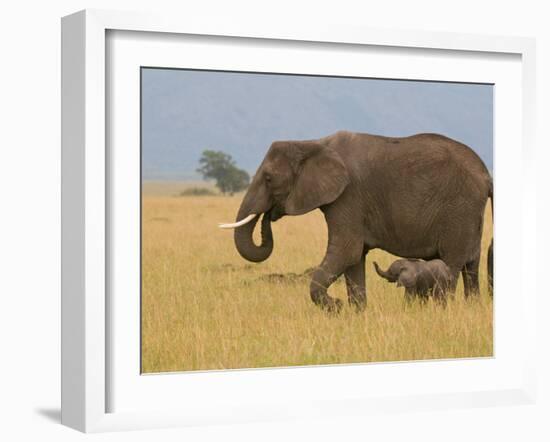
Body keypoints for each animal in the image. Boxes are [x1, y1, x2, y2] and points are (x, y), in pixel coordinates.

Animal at [218, 129, 494, 312]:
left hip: (459, 210)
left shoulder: (348, 196)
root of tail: (486, 174)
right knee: (471, 266)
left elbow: (346, 252)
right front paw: (356, 313)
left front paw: (337, 307)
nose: (270, 214)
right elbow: (354, 259)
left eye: (268, 178)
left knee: (451, 264)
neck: (312, 144)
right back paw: (472, 308)